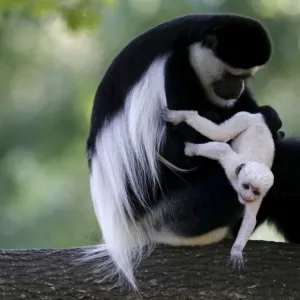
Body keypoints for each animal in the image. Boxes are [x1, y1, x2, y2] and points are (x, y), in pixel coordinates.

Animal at [163, 109, 276, 268]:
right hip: (244, 118)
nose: (247, 196)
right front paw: (192, 149)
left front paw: (236, 251)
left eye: (255, 191)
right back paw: (184, 116)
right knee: (221, 134)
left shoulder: (259, 197)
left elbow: (250, 219)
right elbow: (224, 149)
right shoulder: (233, 166)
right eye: (246, 186)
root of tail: (260, 121)